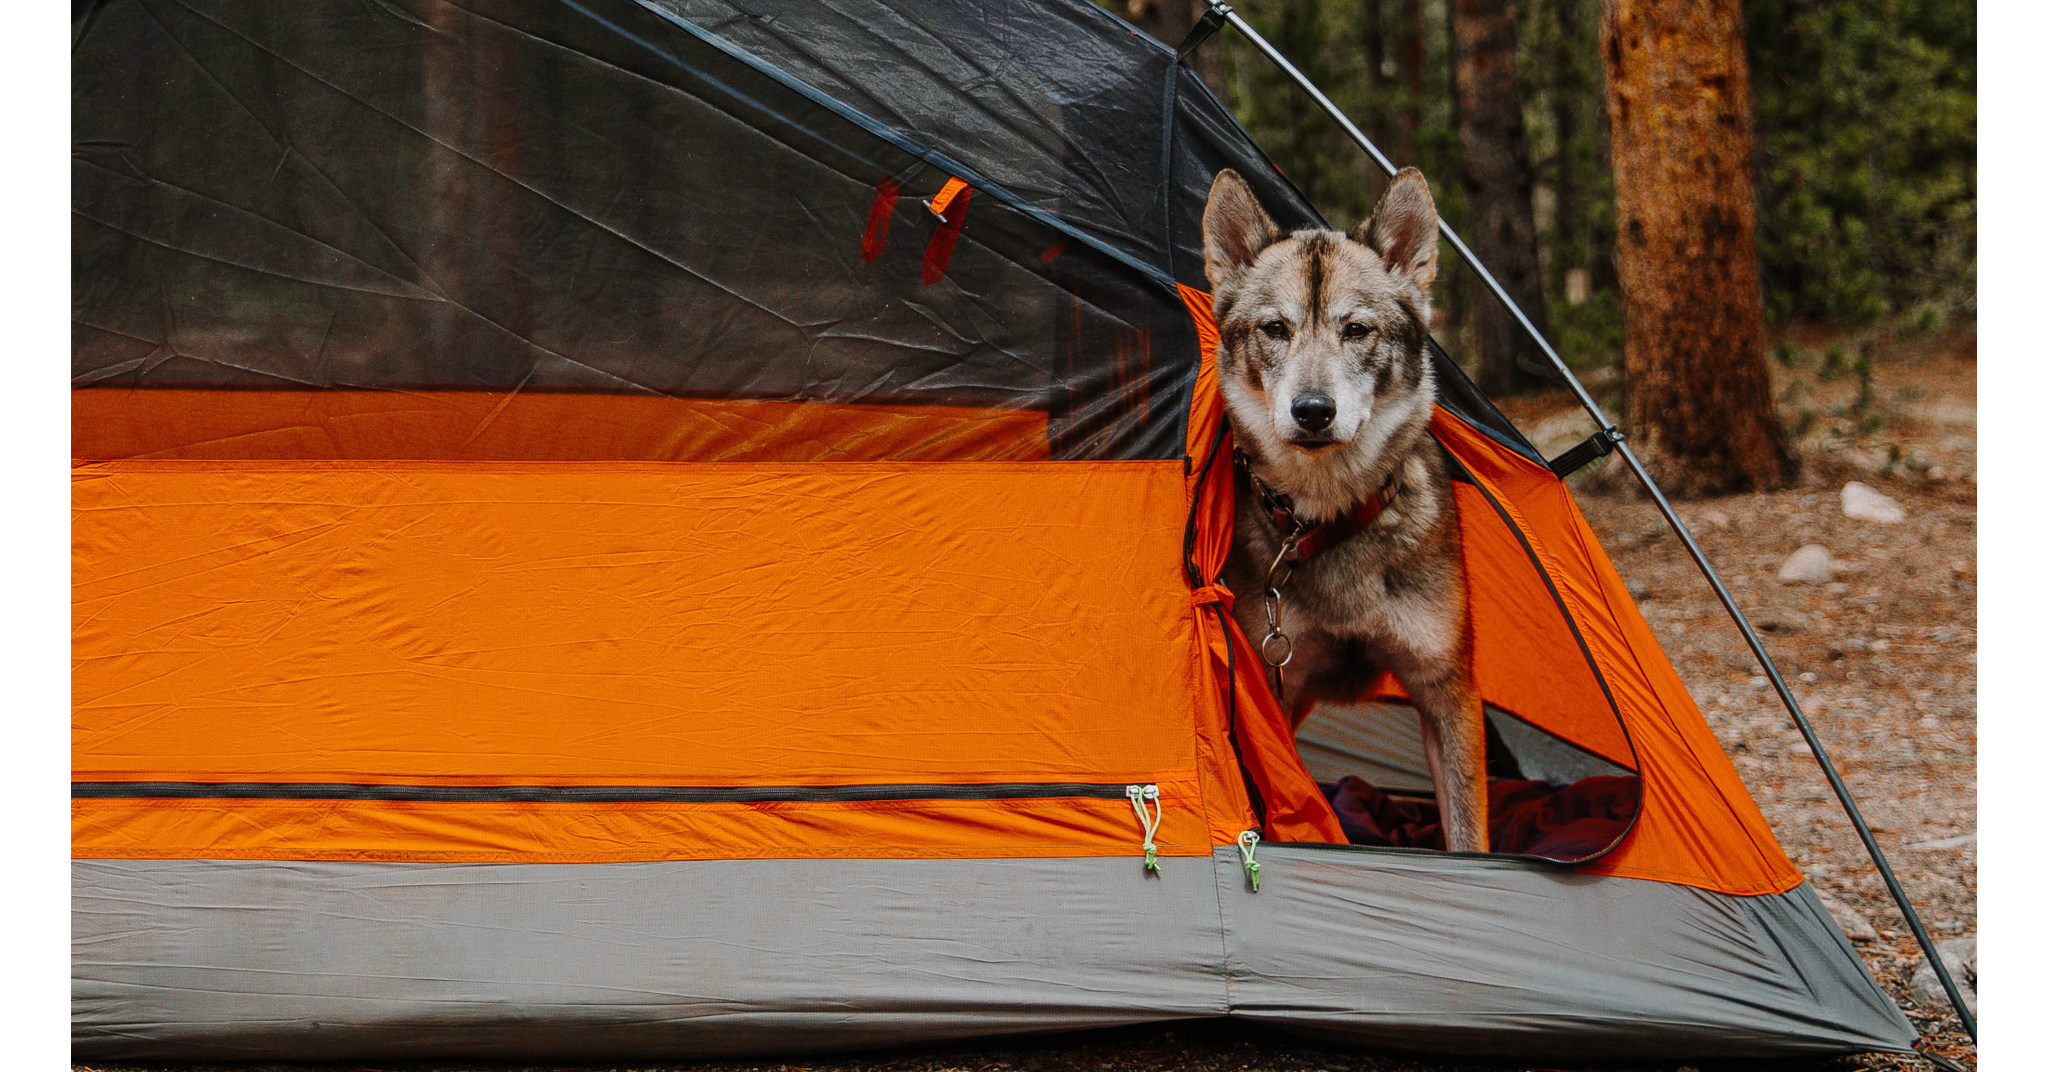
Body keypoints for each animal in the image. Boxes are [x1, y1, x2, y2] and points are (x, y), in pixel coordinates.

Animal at [1196, 168, 1490, 856]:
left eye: (1356, 330)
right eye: (1275, 329)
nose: (1312, 410)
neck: (1328, 518)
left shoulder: (1447, 692)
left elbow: (1469, 837)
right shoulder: (1272, 694)